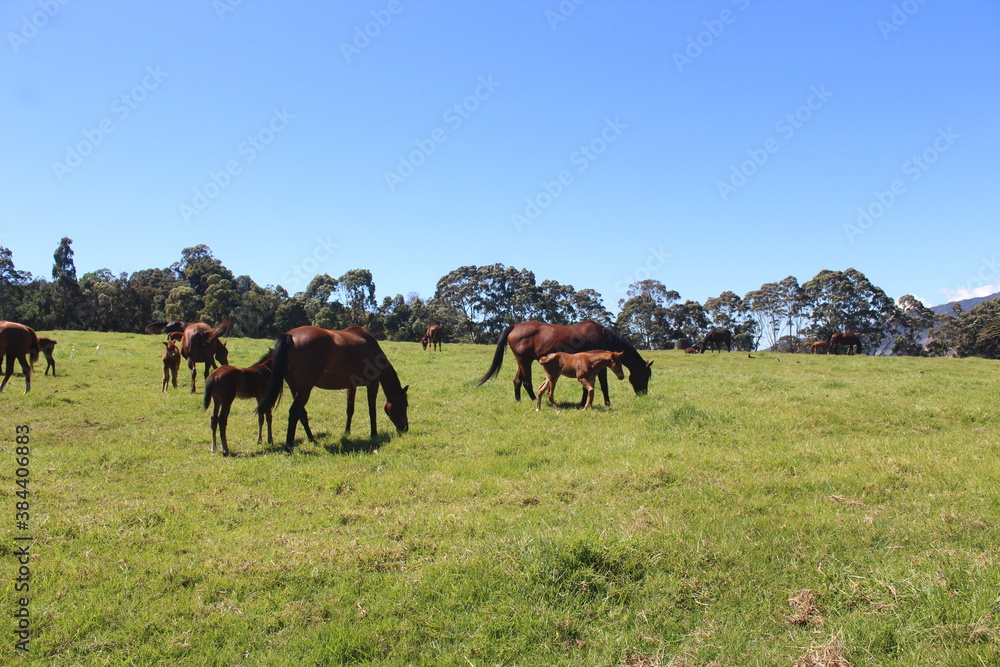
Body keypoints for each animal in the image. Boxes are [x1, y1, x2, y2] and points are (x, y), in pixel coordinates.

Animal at [257, 325, 409, 451]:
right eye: (404, 405)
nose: (405, 428)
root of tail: (289, 336)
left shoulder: (351, 386)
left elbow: (350, 409)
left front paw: (347, 432)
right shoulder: (373, 384)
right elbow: (372, 410)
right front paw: (374, 433)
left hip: (295, 388)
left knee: (301, 413)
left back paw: (311, 438)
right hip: (305, 388)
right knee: (294, 412)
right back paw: (289, 446)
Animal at [477, 320, 652, 407]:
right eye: (645, 376)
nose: (643, 393)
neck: (604, 337)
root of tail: (514, 327)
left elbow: (587, 386)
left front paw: (583, 402)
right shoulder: (602, 367)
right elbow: (603, 386)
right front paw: (607, 403)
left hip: (522, 362)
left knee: (517, 381)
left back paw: (519, 400)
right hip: (525, 361)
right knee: (526, 382)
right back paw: (535, 400)